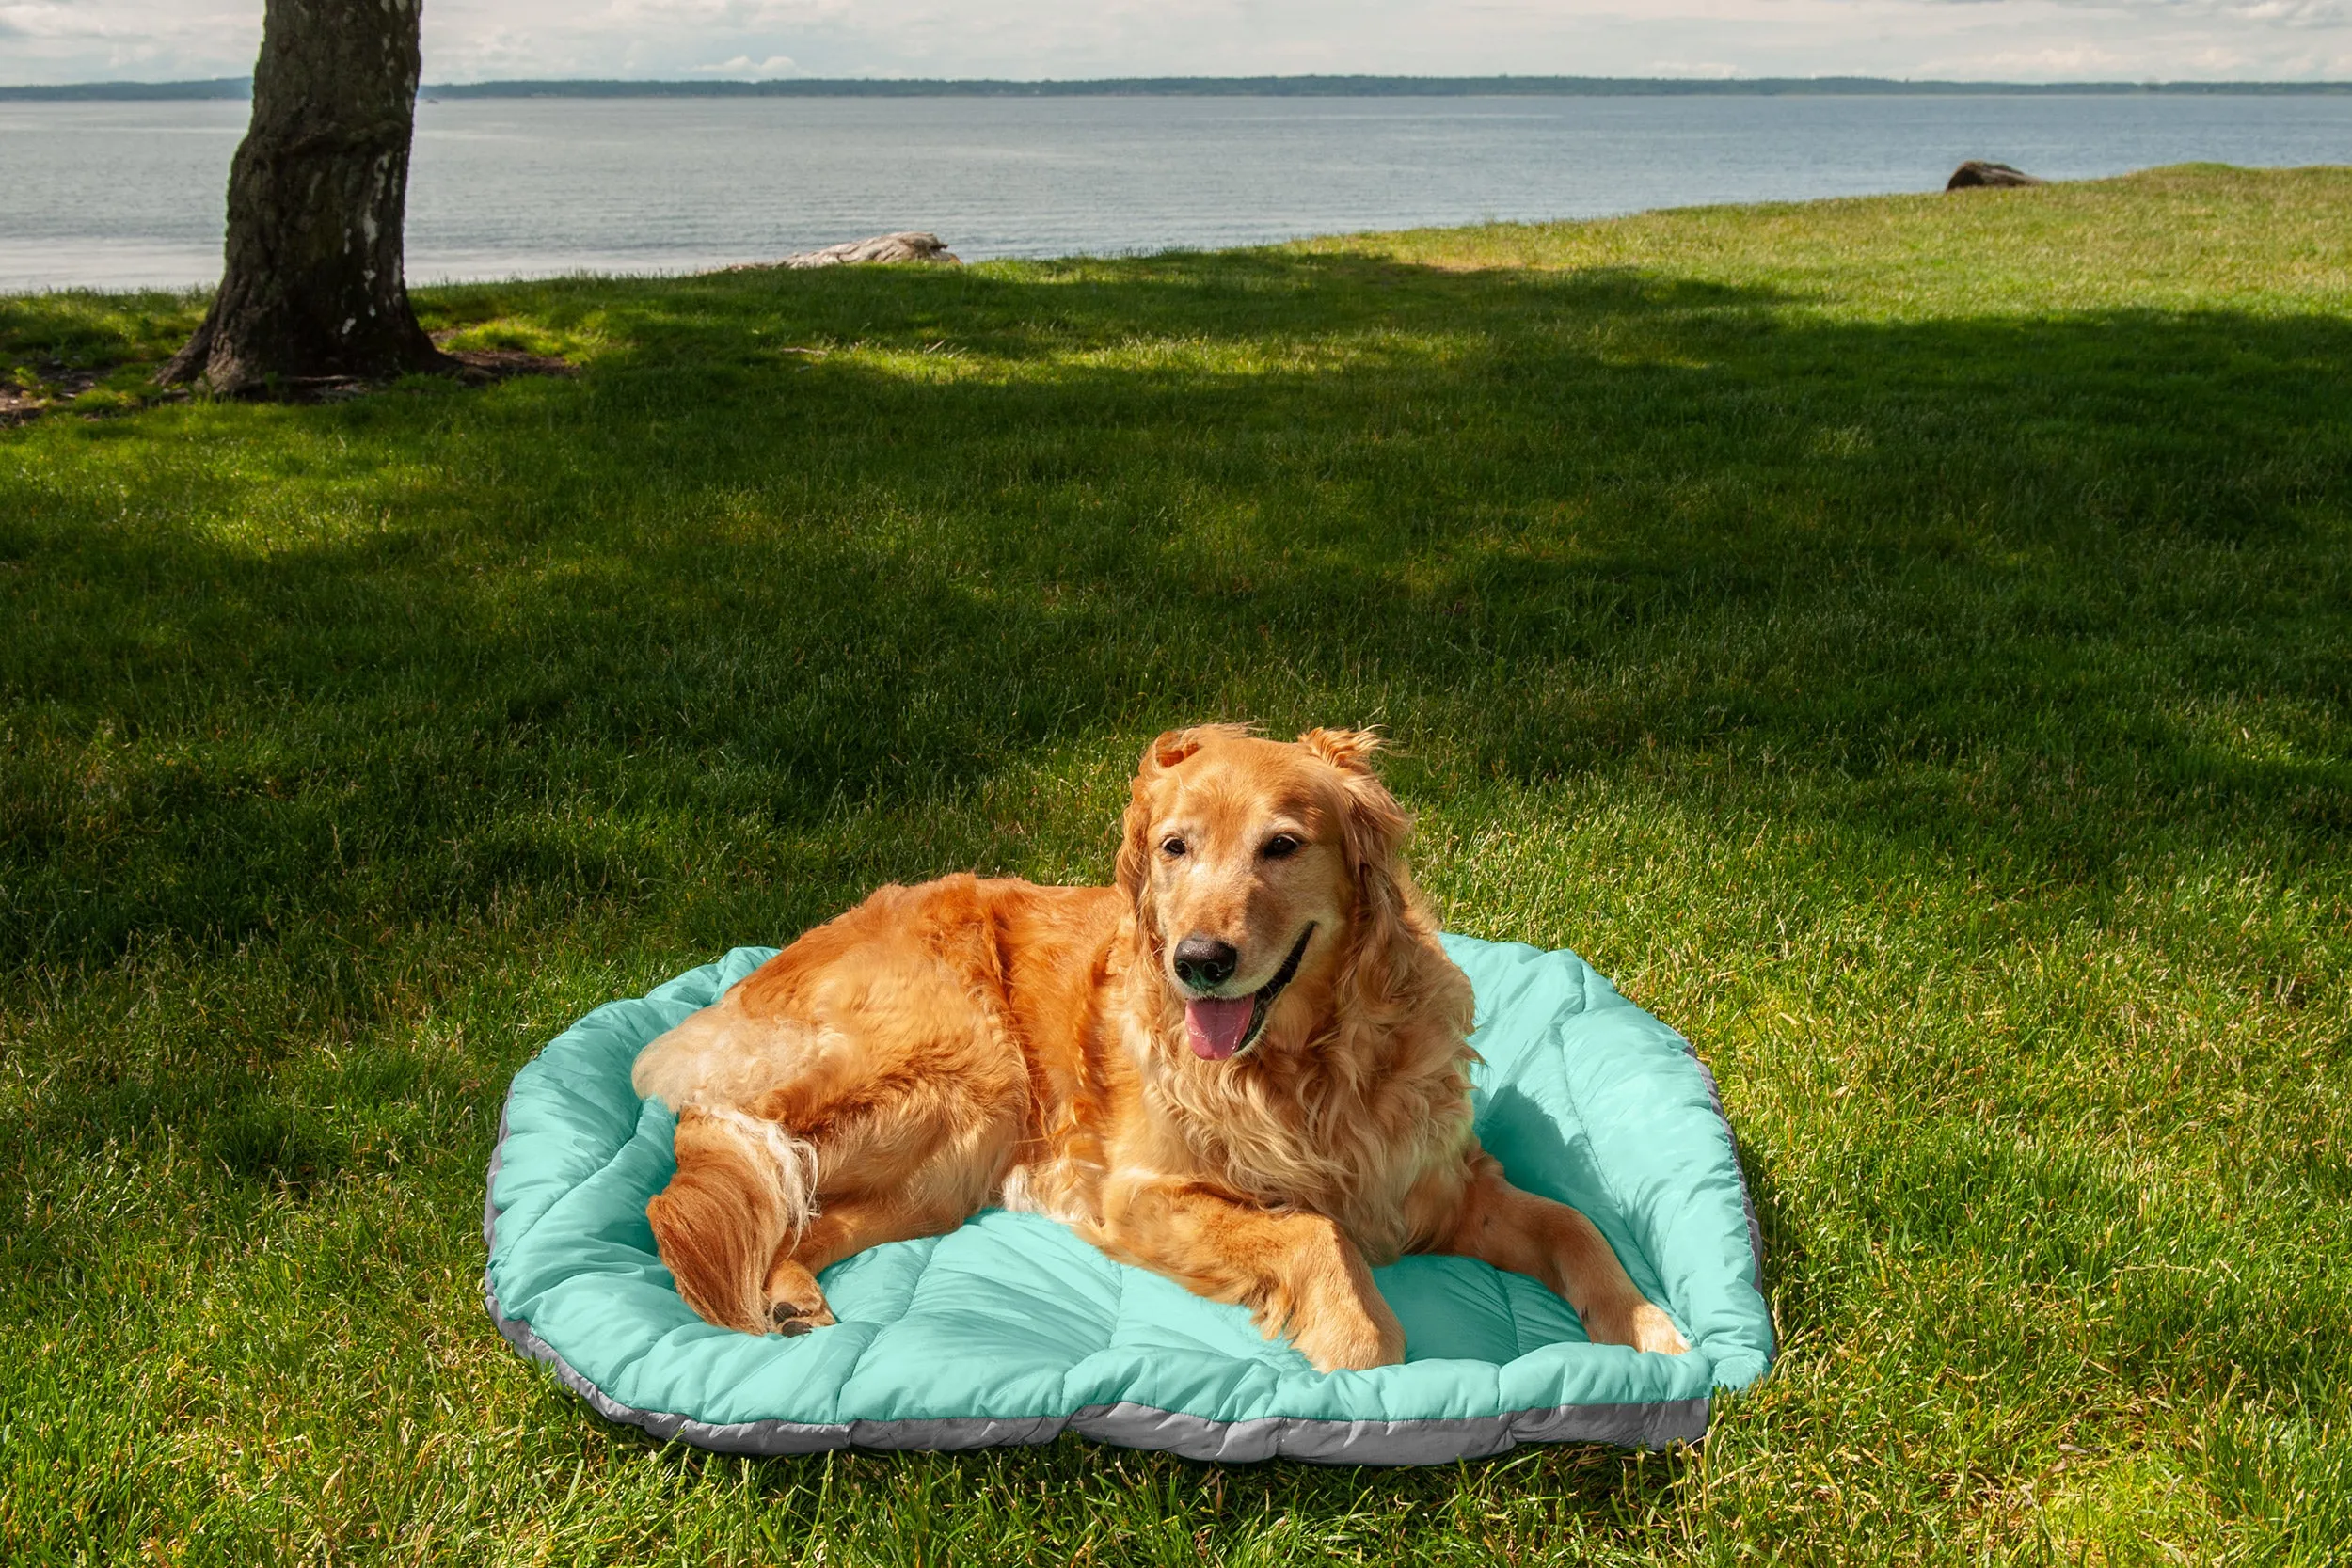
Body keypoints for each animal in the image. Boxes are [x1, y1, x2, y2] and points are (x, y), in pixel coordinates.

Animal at [630, 728, 1693, 1363]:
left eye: (1282, 844)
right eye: (1175, 847)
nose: (1199, 961)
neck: (1304, 1068)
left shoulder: (1444, 1186)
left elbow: (1576, 1223)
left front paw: (1648, 1326)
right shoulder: (1139, 1192)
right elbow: (1314, 1233)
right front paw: (1358, 1350)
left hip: (948, 1164)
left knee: (801, 1219)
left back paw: (790, 1298)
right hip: (964, 1082)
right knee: (724, 1194)